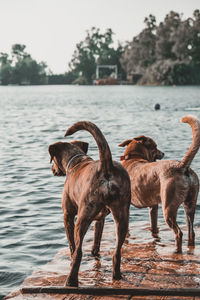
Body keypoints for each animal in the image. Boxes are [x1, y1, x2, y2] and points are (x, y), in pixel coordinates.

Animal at [47, 121, 130, 286]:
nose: (53, 169)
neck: (76, 162)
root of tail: (106, 165)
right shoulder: (100, 218)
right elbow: (97, 238)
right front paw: (94, 253)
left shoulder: (67, 216)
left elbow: (72, 245)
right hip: (122, 215)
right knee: (117, 251)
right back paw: (116, 275)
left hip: (83, 217)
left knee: (78, 252)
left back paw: (71, 280)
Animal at [119, 115, 199, 253]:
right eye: (155, 146)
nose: (163, 153)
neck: (133, 157)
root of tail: (182, 166)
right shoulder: (153, 206)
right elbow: (154, 226)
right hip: (190, 204)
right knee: (191, 232)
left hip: (168, 207)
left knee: (179, 233)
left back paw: (176, 251)